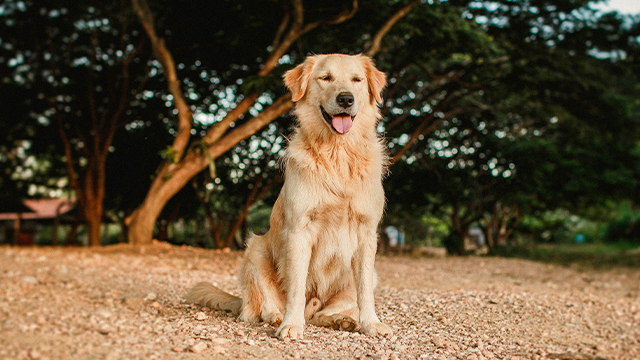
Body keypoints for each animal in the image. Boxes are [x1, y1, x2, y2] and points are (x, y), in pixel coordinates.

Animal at [186, 53, 390, 340]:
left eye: (357, 80)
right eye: (325, 78)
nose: (346, 99)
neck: (337, 153)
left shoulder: (367, 233)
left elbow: (364, 293)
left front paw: (370, 323)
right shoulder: (299, 230)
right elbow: (296, 286)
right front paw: (291, 325)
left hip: (371, 276)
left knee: (319, 314)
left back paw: (341, 320)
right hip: (255, 249)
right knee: (259, 310)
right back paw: (277, 317)